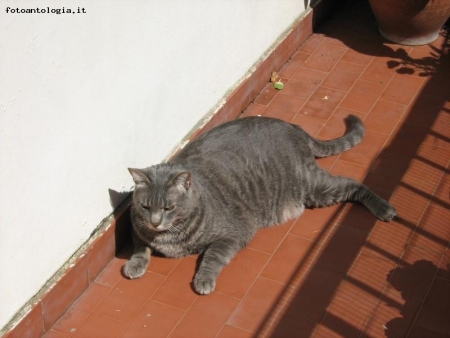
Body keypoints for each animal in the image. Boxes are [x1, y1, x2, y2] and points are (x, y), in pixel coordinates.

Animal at [123, 115, 394, 294]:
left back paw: (384, 208)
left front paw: (204, 280)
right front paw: (134, 264)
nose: (155, 222)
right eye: (145, 206)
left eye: (168, 208)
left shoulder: (235, 232)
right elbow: (140, 248)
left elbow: (212, 255)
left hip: (313, 186)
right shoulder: (136, 228)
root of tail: (293, 126)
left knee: (352, 183)